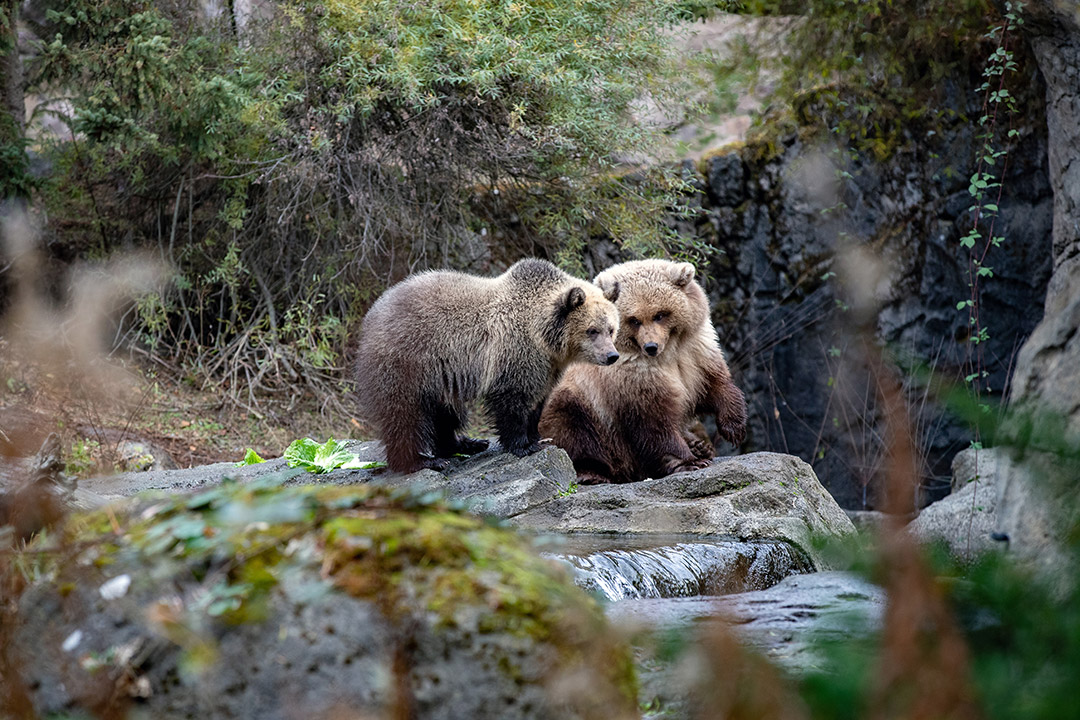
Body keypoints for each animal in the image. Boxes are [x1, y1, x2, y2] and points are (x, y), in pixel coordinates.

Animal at [353, 258, 621, 474]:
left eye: (611, 329)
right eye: (592, 330)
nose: (612, 356)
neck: (544, 338)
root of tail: (373, 313)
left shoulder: (548, 366)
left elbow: (538, 400)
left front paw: (540, 438)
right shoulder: (514, 351)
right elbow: (512, 399)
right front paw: (522, 445)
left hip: (439, 375)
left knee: (445, 412)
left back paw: (466, 443)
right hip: (408, 361)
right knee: (406, 414)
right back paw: (423, 461)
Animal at [538, 259, 747, 484]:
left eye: (660, 314)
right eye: (634, 319)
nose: (651, 346)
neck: (667, 354)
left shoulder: (695, 352)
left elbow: (714, 384)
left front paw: (733, 428)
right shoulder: (631, 378)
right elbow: (654, 422)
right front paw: (689, 462)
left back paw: (700, 446)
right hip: (575, 406)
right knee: (573, 430)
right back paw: (591, 473)